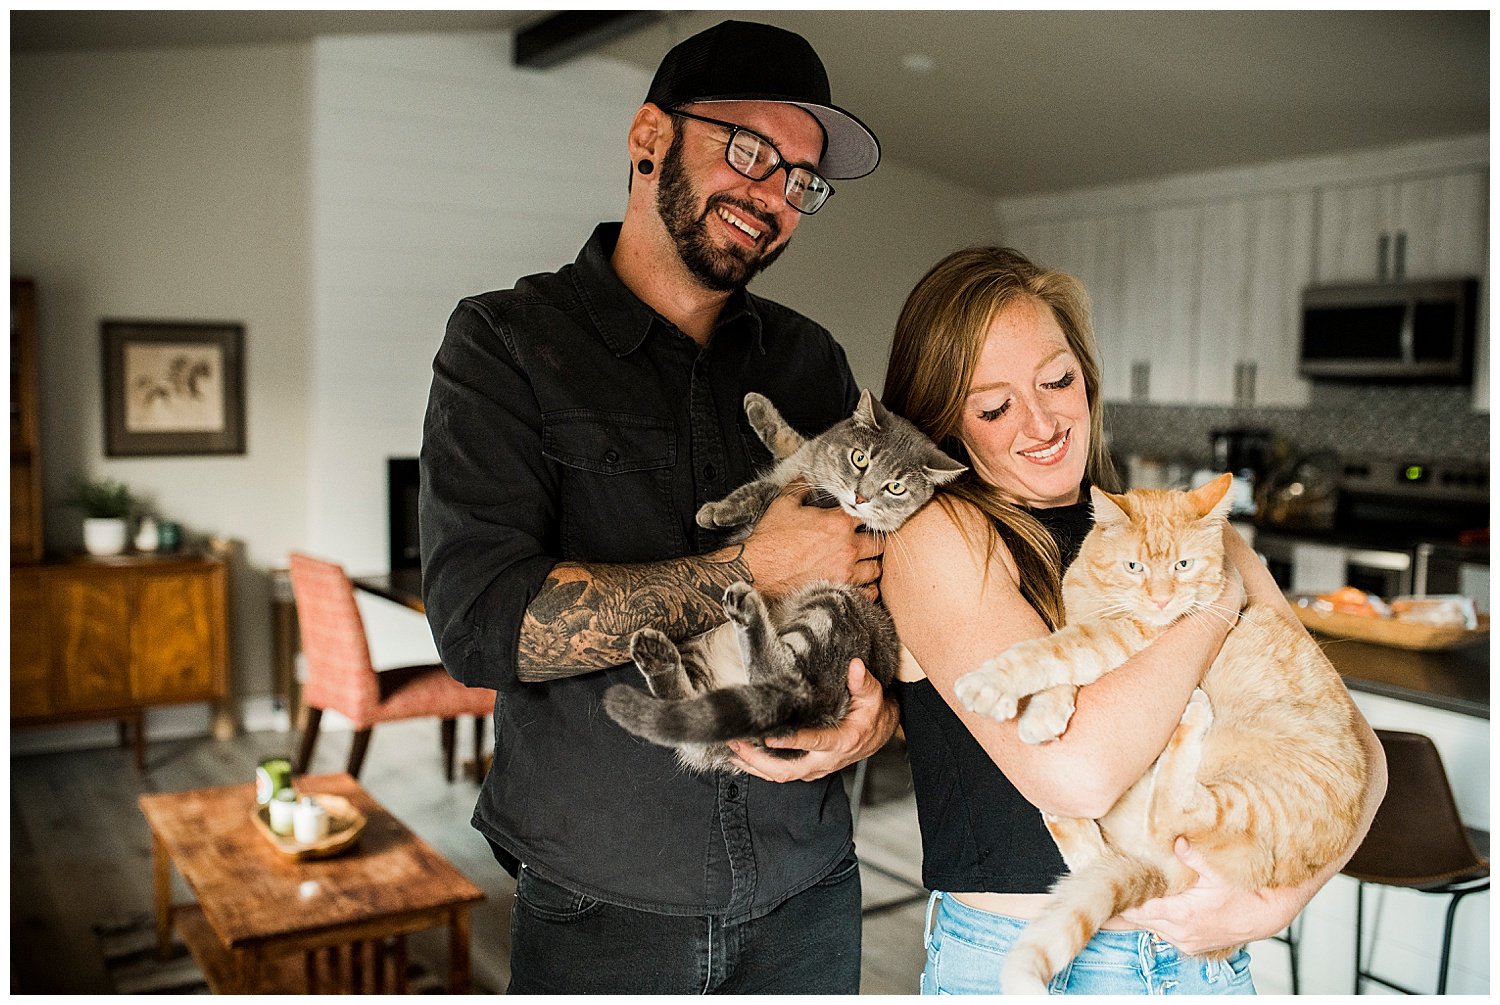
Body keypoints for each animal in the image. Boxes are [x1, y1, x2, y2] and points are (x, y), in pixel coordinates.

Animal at [597, 390, 960, 774]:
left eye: (895, 488)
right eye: (860, 458)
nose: (860, 497)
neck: (816, 467)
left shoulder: (807, 497)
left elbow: (763, 491)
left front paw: (717, 511)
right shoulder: (803, 458)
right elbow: (788, 440)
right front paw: (758, 408)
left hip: (833, 608)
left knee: (786, 690)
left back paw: (747, 611)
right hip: (699, 653)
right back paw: (658, 657)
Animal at [954, 477, 1368, 996]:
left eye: (1182, 566)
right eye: (1135, 566)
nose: (1161, 600)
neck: (1098, 594)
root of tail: (1164, 875)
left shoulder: (1125, 635)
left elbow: (1054, 652)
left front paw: (994, 683)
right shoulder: (1085, 623)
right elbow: (1063, 668)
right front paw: (1046, 712)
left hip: (1243, 801)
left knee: (1171, 813)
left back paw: (1193, 713)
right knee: (1095, 850)